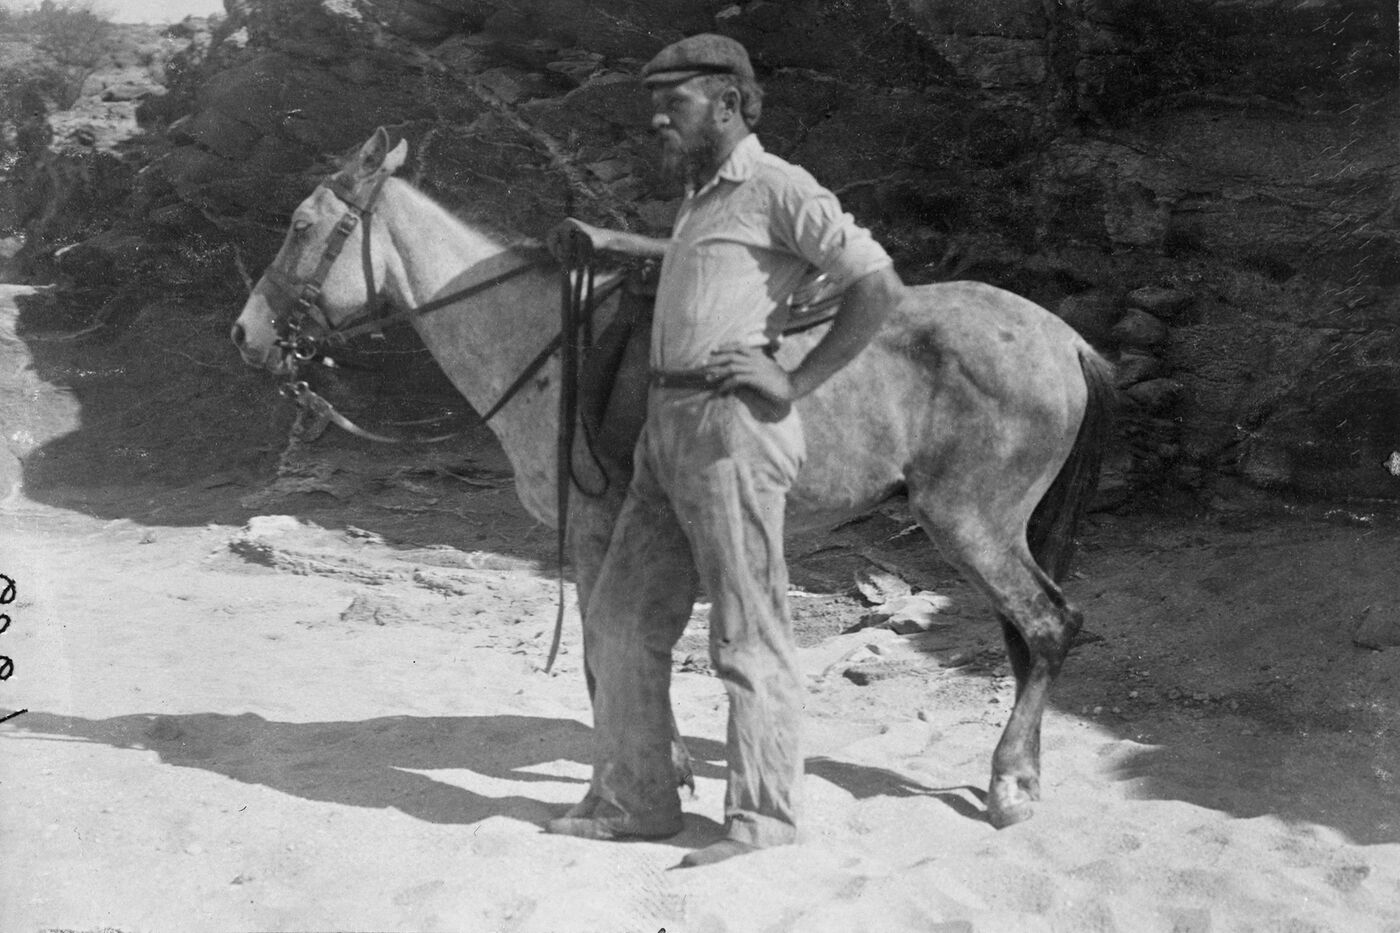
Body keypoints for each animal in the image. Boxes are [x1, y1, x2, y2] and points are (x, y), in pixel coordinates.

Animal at [238, 127, 1114, 823]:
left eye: (301, 226)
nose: (247, 332)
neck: (556, 345)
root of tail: (1066, 338)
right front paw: (668, 767)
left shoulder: (594, 526)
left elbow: (602, 652)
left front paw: (624, 784)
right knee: (1027, 638)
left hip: (970, 522)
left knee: (1048, 626)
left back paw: (1010, 782)